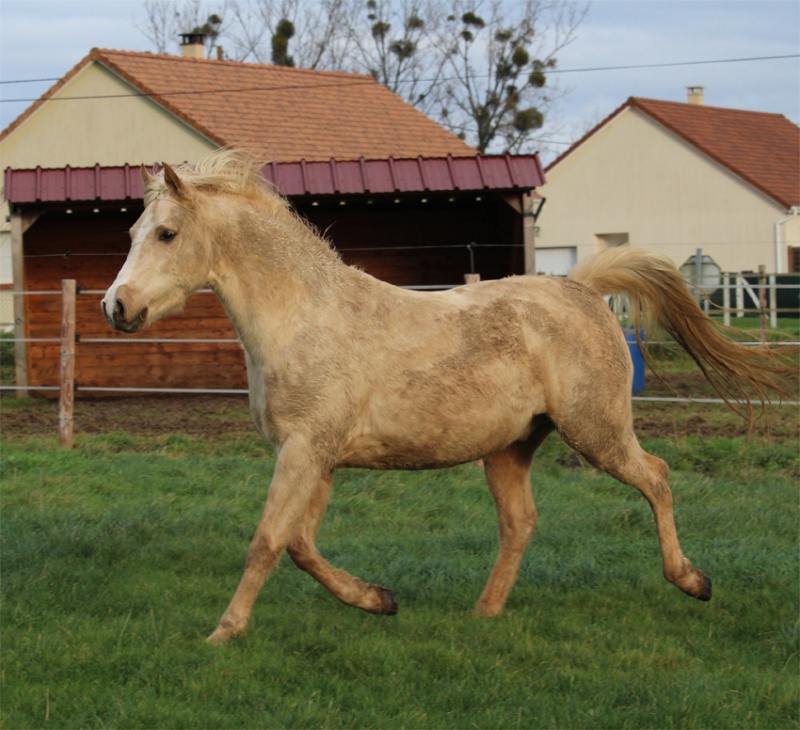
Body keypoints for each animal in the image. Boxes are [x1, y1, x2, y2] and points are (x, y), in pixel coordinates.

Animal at [103, 151, 792, 640]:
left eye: (166, 234)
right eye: (135, 230)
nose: (117, 307)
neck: (304, 316)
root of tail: (583, 290)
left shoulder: (304, 451)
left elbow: (268, 542)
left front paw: (224, 633)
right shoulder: (316, 457)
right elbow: (300, 546)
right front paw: (379, 600)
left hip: (597, 432)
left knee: (657, 476)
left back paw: (693, 581)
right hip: (511, 447)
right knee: (520, 522)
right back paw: (482, 616)